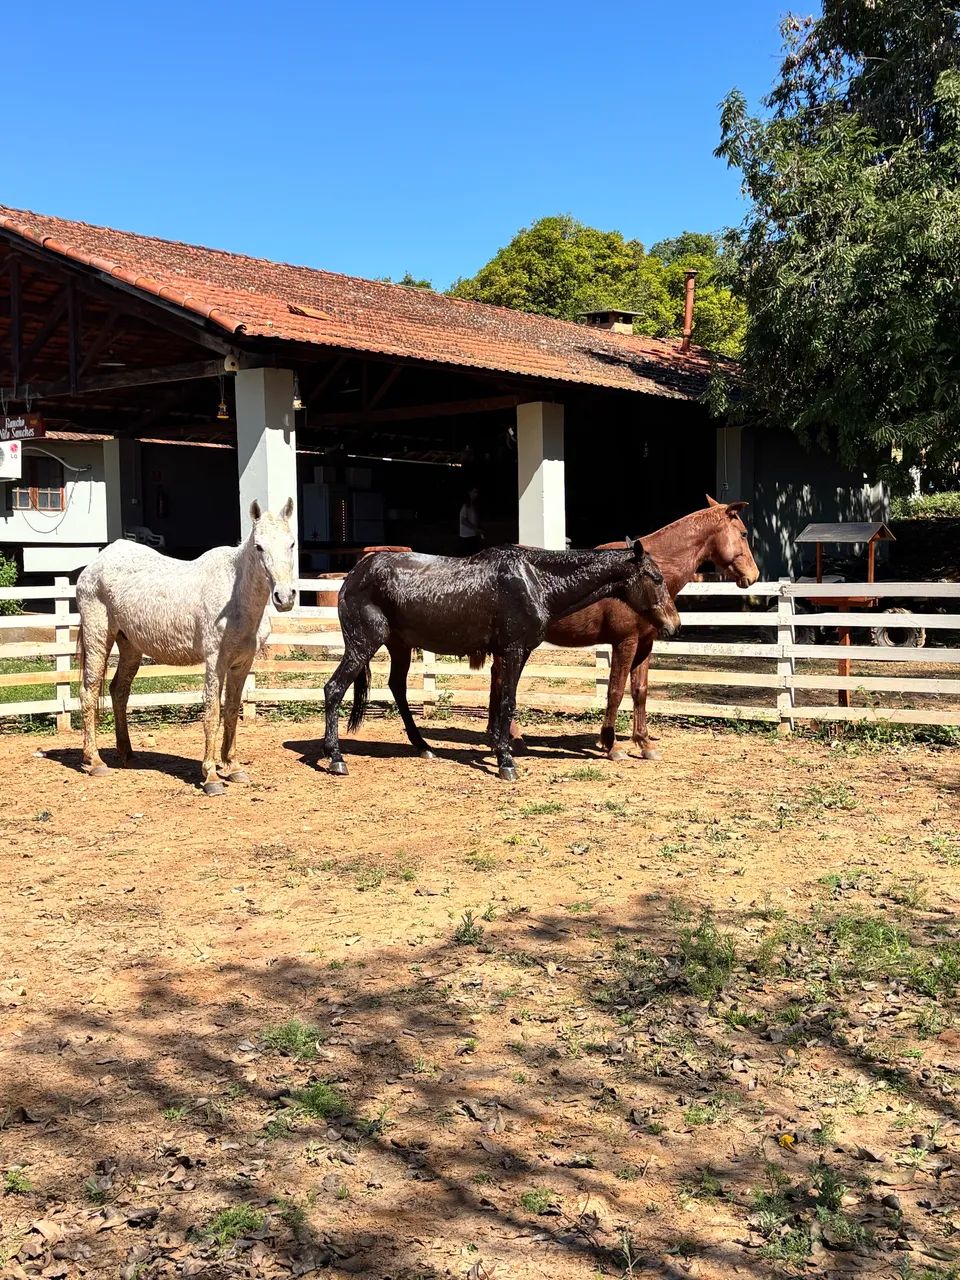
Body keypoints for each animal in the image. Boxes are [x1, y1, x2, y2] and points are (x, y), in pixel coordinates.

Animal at [75, 499, 297, 795]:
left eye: (291, 543)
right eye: (259, 546)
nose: (284, 597)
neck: (235, 595)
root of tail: (95, 564)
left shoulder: (242, 664)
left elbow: (231, 711)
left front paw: (233, 767)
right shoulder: (215, 661)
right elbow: (212, 712)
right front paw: (211, 777)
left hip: (130, 647)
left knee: (119, 692)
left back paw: (128, 754)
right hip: (98, 637)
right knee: (88, 693)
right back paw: (94, 761)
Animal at [321, 540, 681, 782]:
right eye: (656, 578)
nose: (674, 625)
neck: (534, 580)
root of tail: (353, 575)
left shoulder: (514, 653)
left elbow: (500, 700)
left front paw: (497, 748)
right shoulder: (513, 650)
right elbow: (507, 701)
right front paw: (507, 760)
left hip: (399, 646)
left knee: (397, 688)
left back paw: (423, 746)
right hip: (363, 644)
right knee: (334, 688)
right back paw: (335, 757)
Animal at [498, 497, 760, 761]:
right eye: (744, 533)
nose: (754, 575)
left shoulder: (645, 643)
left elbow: (639, 691)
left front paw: (644, 743)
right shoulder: (625, 641)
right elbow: (615, 691)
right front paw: (612, 746)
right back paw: (514, 740)